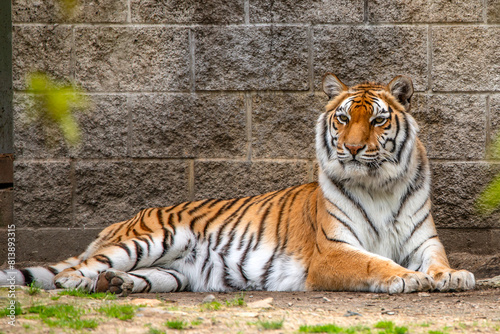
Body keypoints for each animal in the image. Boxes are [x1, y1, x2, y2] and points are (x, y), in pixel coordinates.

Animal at [1, 73, 474, 294]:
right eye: (342, 119)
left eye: (376, 120)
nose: (353, 149)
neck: (379, 185)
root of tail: (122, 220)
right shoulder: (333, 252)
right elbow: (376, 263)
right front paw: (408, 279)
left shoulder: (423, 241)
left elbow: (437, 261)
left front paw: (453, 276)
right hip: (150, 239)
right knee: (72, 272)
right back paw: (84, 283)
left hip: (172, 272)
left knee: (134, 276)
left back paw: (118, 285)